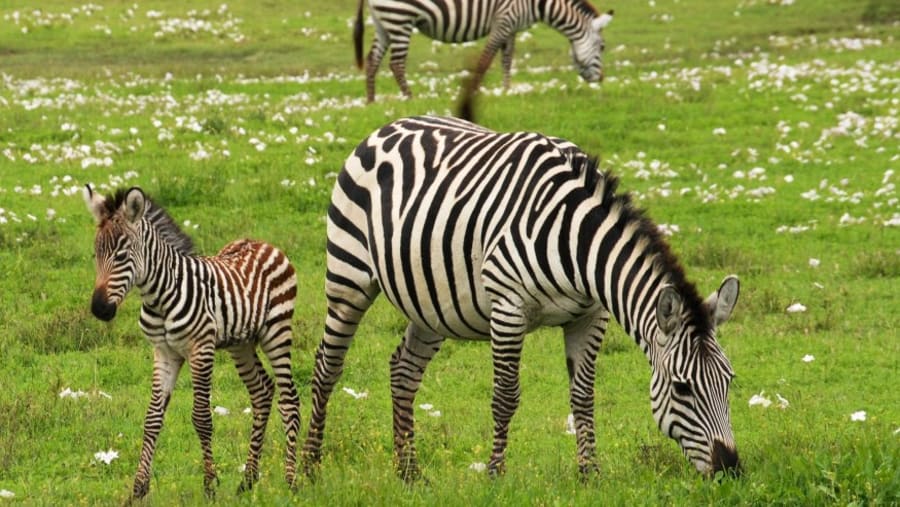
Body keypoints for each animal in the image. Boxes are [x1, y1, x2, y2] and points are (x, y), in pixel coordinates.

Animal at [83, 186, 301, 501]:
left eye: (122, 255)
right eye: (96, 254)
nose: (100, 309)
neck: (160, 296)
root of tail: (263, 243)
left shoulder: (201, 349)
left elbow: (202, 418)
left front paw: (210, 485)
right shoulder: (164, 352)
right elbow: (152, 419)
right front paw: (138, 489)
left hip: (277, 331)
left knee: (289, 399)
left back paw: (292, 481)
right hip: (241, 343)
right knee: (261, 392)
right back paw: (247, 480)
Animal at [302, 115, 741, 481]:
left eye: (729, 381)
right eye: (682, 388)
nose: (730, 470)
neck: (577, 242)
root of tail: (387, 126)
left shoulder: (590, 315)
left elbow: (583, 396)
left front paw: (590, 474)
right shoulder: (508, 307)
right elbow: (505, 396)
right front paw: (495, 474)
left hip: (431, 302)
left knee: (403, 370)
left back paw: (408, 472)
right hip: (348, 276)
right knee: (327, 365)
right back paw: (307, 468)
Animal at [354, 0, 614, 105]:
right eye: (602, 47)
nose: (601, 79)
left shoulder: (512, 28)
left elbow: (507, 59)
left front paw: (507, 90)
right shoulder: (504, 21)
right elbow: (486, 59)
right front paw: (475, 91)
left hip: (384, 22)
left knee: (372, 59)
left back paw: (371, 100)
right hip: (400, 18)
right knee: (396, 63)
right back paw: (410, 98)